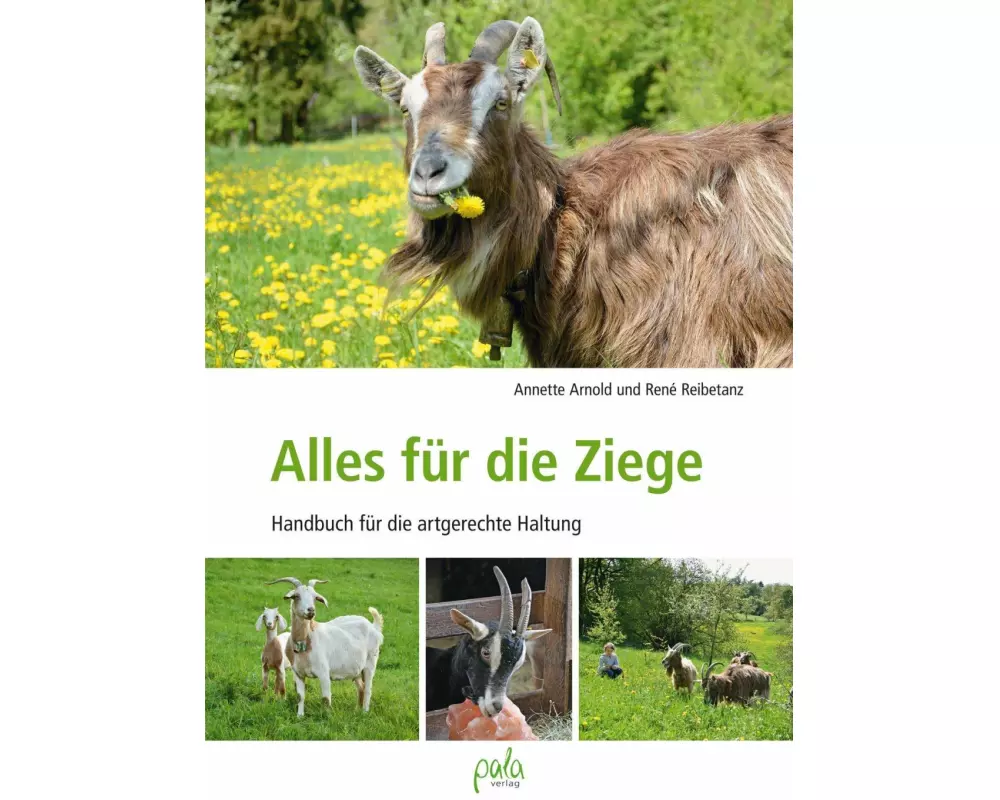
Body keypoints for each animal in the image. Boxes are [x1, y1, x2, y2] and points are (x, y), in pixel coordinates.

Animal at [265, 577, 384, 716]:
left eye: (315, 597)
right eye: (296, 596)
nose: (311, 610)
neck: (305, 641)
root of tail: (373, 626)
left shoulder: (324, 673)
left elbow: (326, 699)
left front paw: (327, 717)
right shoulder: (298, 673)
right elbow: (300, 696)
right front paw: (300, 716)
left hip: (370, 663)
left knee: (368, 689)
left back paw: (364, 712)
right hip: (356, 669)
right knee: (361, 687)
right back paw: (356, 710)